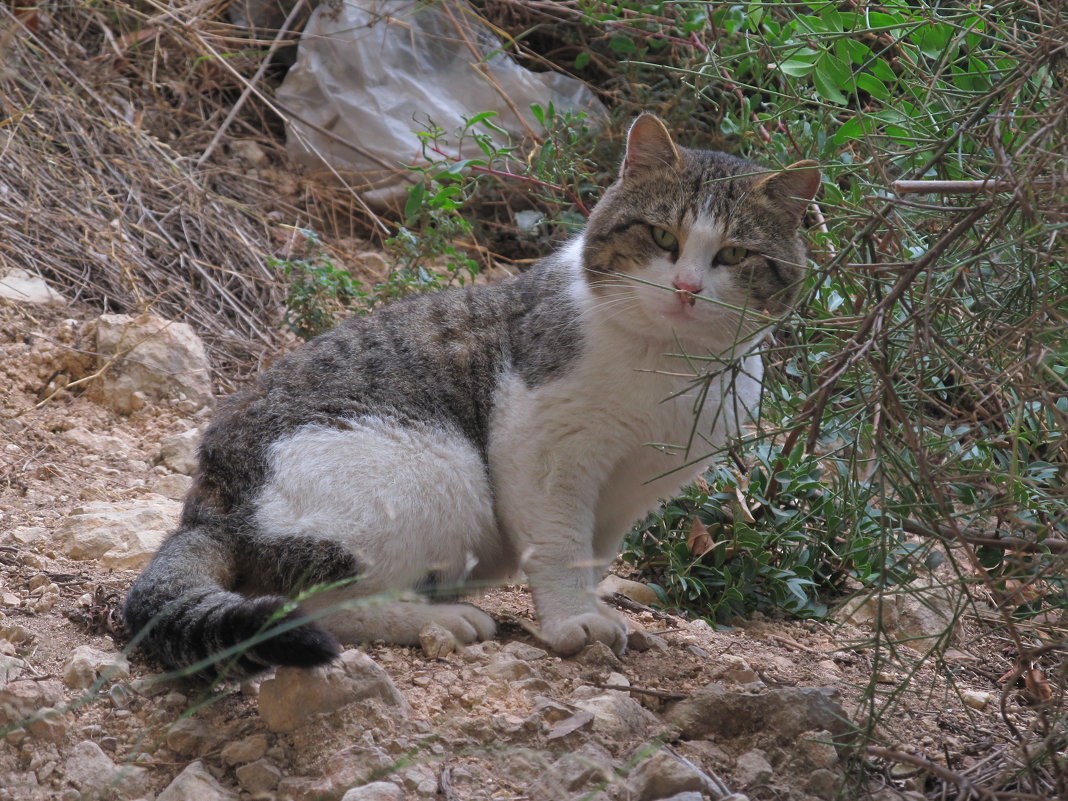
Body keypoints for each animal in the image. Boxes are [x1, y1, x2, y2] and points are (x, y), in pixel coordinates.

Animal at [122, 114, 815, 679]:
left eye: (734, 254)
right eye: (663, 237)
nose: (688, 289)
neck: (670, 367)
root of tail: (209, 500)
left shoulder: (633, 487)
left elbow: (592, 555)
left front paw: (592, 612)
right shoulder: (544, 450)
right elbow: (559, 547)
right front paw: (574, 623)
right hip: (432, 471)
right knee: (304, 606)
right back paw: (438, 620)